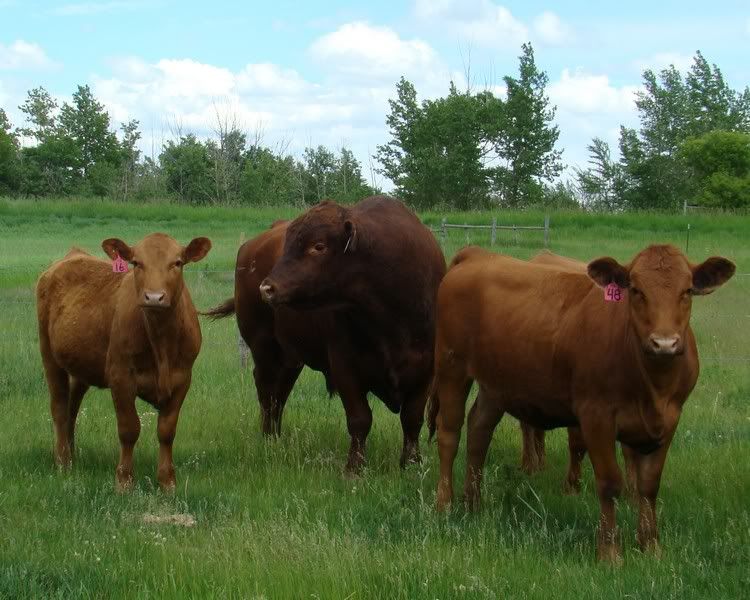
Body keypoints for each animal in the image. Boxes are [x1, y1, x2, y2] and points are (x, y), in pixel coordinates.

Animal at [36, 233, 212, 491]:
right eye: (136, 263)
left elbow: (166, 431)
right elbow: (129, 429)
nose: (154, 297)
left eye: (177, 263)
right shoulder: (120, 377)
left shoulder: (182, 379)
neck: (161, 343)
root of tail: (72, 255)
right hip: (49, 354)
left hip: (82, 366)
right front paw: (124, 481)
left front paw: (167, 481)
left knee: (72, 407)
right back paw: (63, 462)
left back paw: (72, 454)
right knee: (59, 407)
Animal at [205, 196, 446, 474]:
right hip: (263, 346)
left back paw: (276, 437)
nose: (267, 288)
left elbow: (412, 418)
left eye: (318, 246)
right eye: (288, 245)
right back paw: (268, 439)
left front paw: (412, 464)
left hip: (290, 358)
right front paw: (354, 468)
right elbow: (360, 419)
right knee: (267, 391)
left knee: (280, 392)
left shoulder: (426, 370)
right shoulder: (345, 366)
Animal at [429, 244, 734, 561]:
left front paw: (651, 546)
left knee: (479, 431)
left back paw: (473, 503)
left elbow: (649, 485)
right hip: (452, 367)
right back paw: (445, 503)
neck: (653, 386)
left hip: (495, 385)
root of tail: (479, 254)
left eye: (686, 291)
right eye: (636, 290)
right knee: (450, 434)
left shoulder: (670, 420)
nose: (664, 343)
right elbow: (609, 483)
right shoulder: (596, 417)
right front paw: (610, 552)